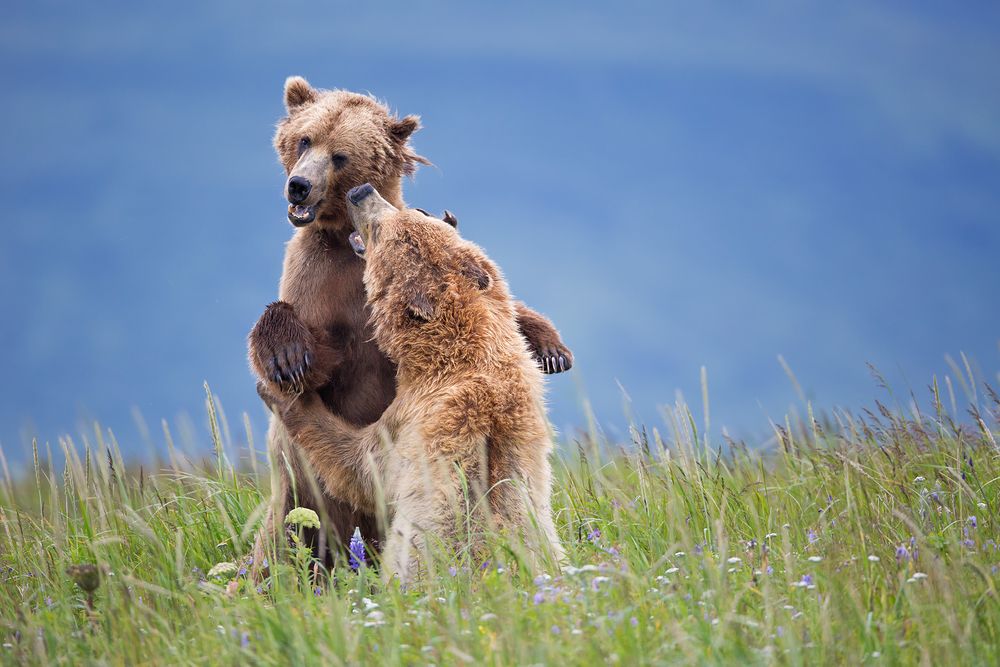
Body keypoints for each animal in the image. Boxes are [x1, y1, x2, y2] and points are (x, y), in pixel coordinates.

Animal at [247, 77, 572, 572]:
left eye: (340, 155)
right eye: (304, 139)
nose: (299, 186)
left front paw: (549, 346)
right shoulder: (315, 283)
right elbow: (319, 357)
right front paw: (286, 357)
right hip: (297, 495)